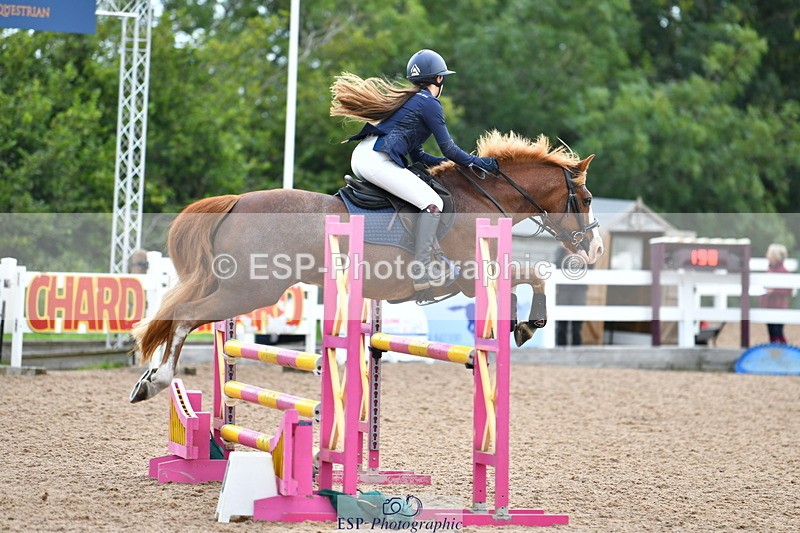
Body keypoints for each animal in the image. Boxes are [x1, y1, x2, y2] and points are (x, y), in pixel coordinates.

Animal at [129, 130, 603, 403]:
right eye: (586, 198)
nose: (595, 249)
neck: (480, 199)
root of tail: (235, 203)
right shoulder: (472, 276)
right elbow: (537, 275)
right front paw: (529, 324)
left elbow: (528, 280)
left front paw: (519, 324)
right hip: (249, 289)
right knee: (185, 316)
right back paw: (157, 379)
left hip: (237, 286)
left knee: (180, 315)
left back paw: (149, 378)